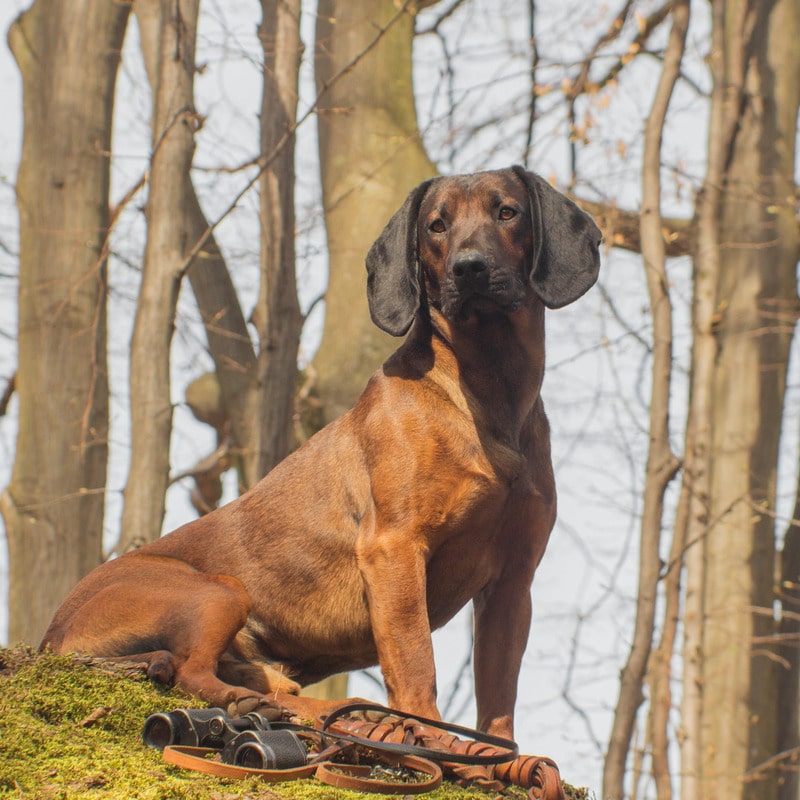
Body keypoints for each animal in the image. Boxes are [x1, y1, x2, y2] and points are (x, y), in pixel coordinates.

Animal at [39, 167, 600, 736]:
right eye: (436, 226)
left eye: (507, 212)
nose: (469, 268)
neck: (486, 389)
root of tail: (53, 636)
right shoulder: (394, 548)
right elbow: (416, 662)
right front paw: (427, 735)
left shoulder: (513, 579)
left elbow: (499, 695)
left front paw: (495, 751)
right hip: (217, 590)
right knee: (190, 672)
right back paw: (254, 704)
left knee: (266, 685)